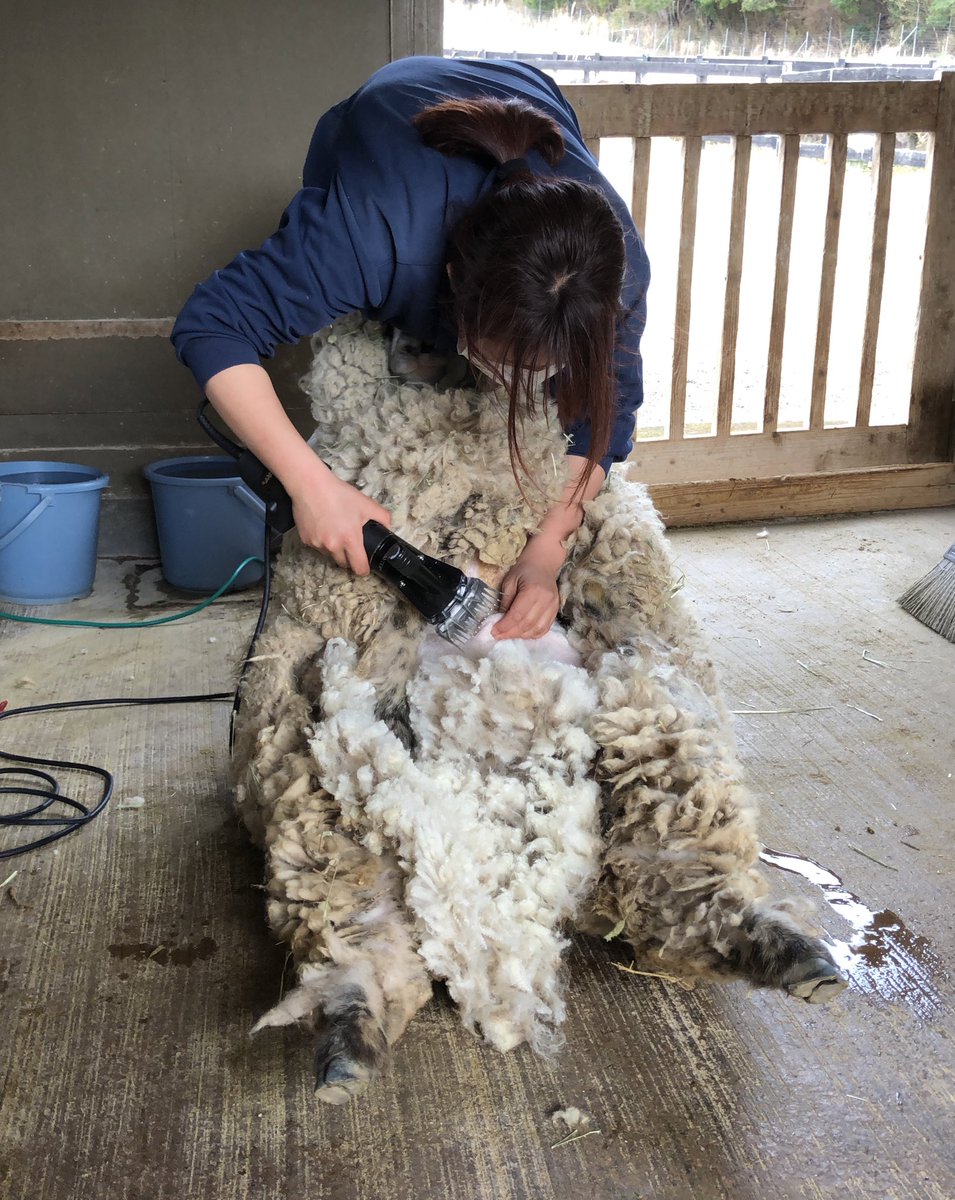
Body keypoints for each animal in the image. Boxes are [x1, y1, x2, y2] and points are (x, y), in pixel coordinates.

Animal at [231, 316, 846, 1104]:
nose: (409, 338)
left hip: (650, 712)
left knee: (675, 885)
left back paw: (787, 955)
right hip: (305, 772)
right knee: (359, 920)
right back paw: (347, 1044)